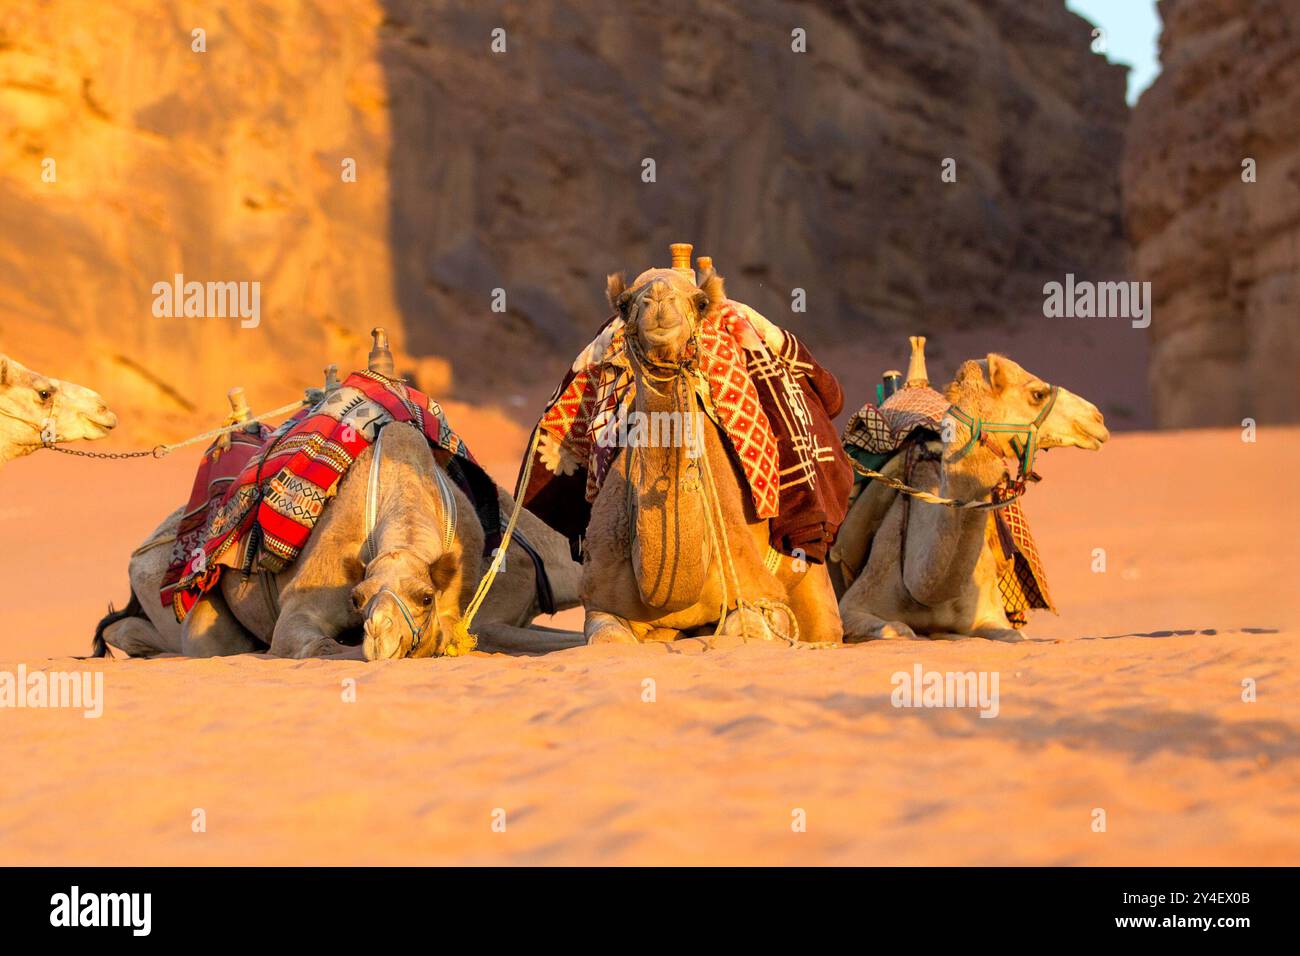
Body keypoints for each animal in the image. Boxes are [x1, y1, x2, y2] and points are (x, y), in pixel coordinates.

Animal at [579, 265, 842, 647]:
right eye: (625, 304)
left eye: (700, 303)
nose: (658, 296)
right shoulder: (599, 600)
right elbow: (608, 639)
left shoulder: (759, 590)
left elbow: (744, 626)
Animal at [832, 353, 1107, 642]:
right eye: (1037, 394)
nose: (1097, 418)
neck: (923, 587)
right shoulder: (852, 607)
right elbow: (898, 630)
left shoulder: (990, 615)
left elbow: (1014, 637)